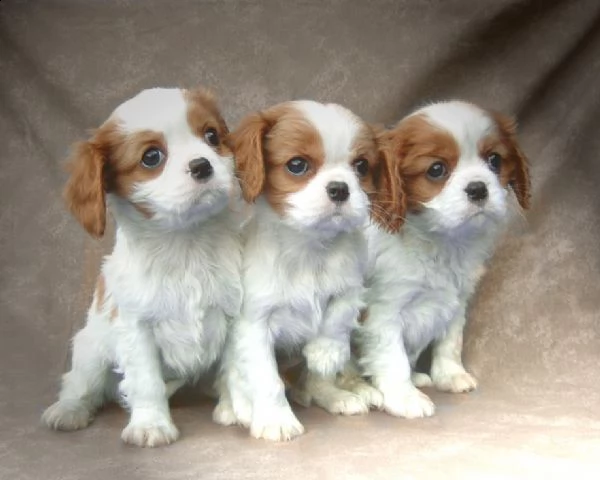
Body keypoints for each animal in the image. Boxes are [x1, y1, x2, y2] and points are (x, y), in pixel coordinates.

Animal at [40, 87, 244, 446]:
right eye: (151, 157)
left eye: (211, 136)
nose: (202, 165)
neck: (185, 241)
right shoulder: (136, 328)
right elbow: (146, 380)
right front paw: (151, 425)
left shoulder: (233, 313)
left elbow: (234, 366)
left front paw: (234, 408)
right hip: (91, 350)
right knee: (79, 385)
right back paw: (68, 411)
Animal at [212, 102, 404, 442]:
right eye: (297, 165)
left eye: (361, 166)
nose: (340, 189)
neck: (310, 247)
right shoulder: (253, 323)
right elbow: (265, 378)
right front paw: (275, 419)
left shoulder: (351, 286)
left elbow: (338, 315)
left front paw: (325, 351)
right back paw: (233, 408)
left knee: (313, 383)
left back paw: (340, 395)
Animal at [356, 100, 528, 416]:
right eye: (436, 170)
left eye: (494, 161)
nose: (478, 188)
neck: (441, 240)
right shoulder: (382, 313)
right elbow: (393, 358)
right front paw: (406, 399)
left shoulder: (457, 302)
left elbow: (450, 343)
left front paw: (450, 376)